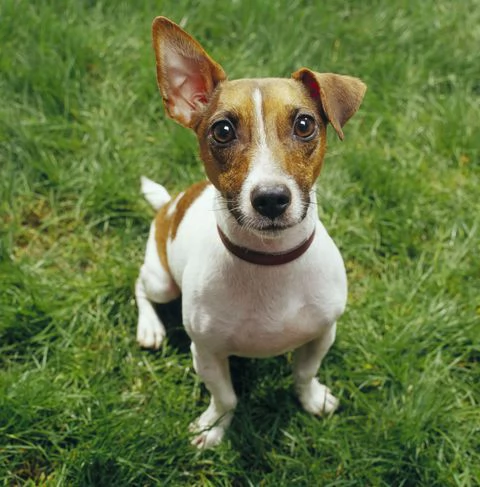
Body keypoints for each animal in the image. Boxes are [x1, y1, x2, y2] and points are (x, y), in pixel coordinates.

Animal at [136, 16, 368, 450]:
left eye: (305, 124)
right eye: (223, 130)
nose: (271, 199)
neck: (269, 261)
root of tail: (170, 204)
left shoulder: (322, 333)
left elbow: (304, 373)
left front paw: (311, 399)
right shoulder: (206, 351)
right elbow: (225, 396)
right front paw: (212, 427)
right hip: (162, 281)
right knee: (140, 288)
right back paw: (150, 327)